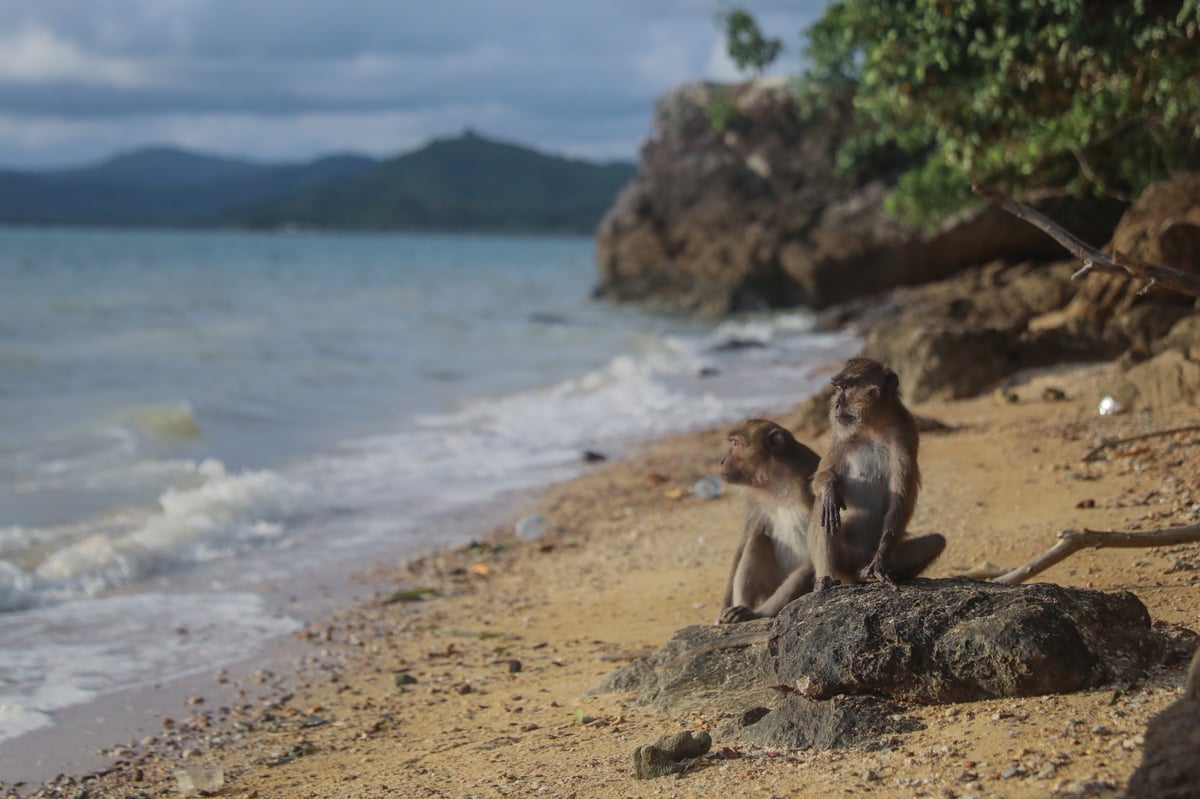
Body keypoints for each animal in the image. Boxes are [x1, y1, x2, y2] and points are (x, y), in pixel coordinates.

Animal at [710, 417, 825, 623]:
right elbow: (745, 541)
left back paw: (756, 613)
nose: (721, 461)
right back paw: (742, 609)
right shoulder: (752, 499)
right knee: (758, 539)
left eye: (735, 444)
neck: (777, 480)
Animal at [811, 352, 940, 585]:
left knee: (937, 541)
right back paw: (826, 577)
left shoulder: (905, 436)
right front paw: (829, 488)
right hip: (843, 557)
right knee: (822, 507)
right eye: (838, 388)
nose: (836, 405)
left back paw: (865, 573)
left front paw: (881, 562)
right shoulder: (839, 437)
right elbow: (820, 479)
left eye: (848, 387)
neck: (873, 427)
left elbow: (901, 499)